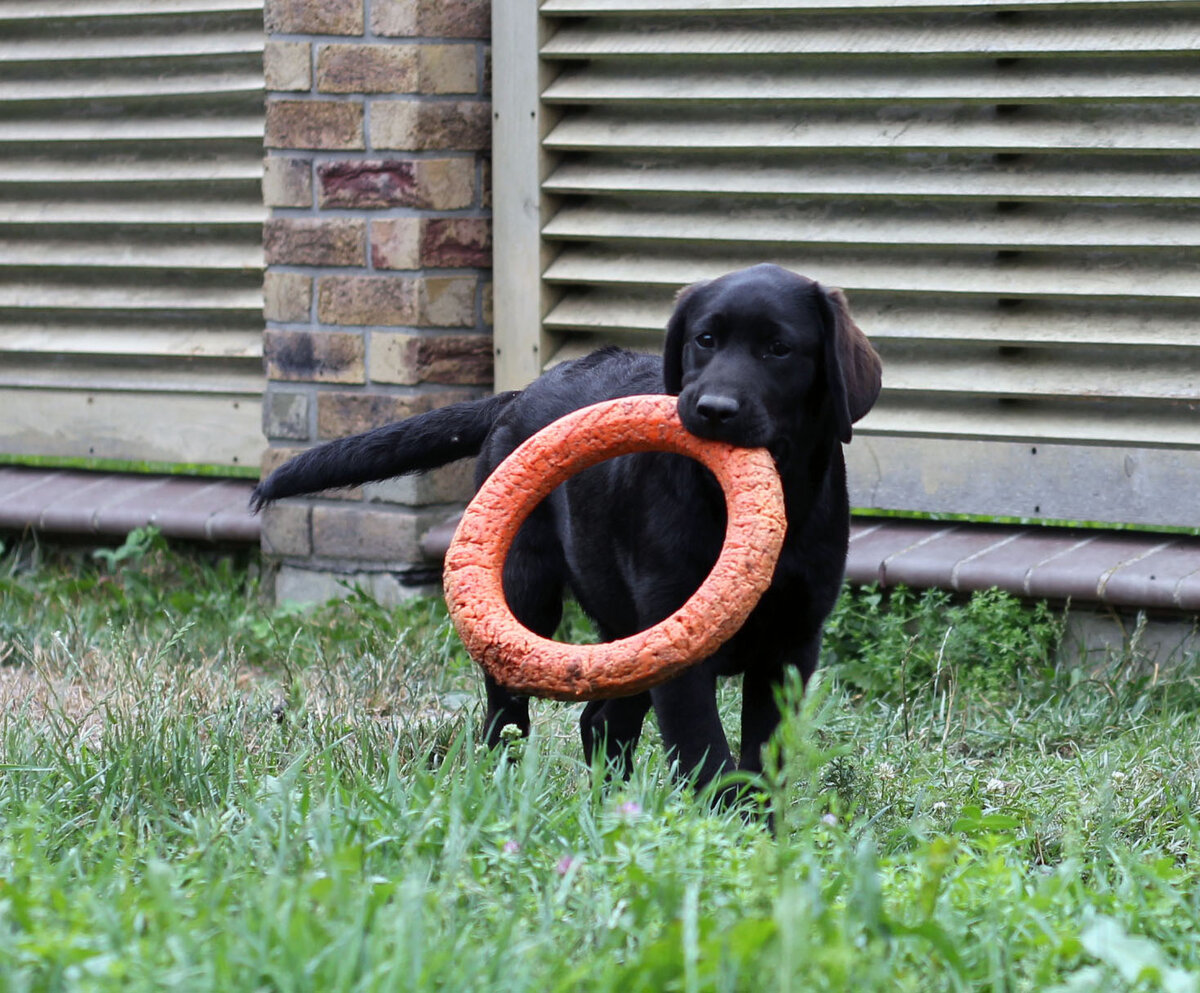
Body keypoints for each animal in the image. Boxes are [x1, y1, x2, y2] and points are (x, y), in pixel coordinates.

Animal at [253, 263, 888, 791]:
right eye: (704, 340)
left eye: (779, 349)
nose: (712, 410)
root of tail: (518, 394)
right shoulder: (677, 642)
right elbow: (705, 753)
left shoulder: (790, 646)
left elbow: (762, 760)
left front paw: (762, 838)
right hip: (527, 593)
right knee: (510, 716)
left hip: (624, 633)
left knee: (600, 721)